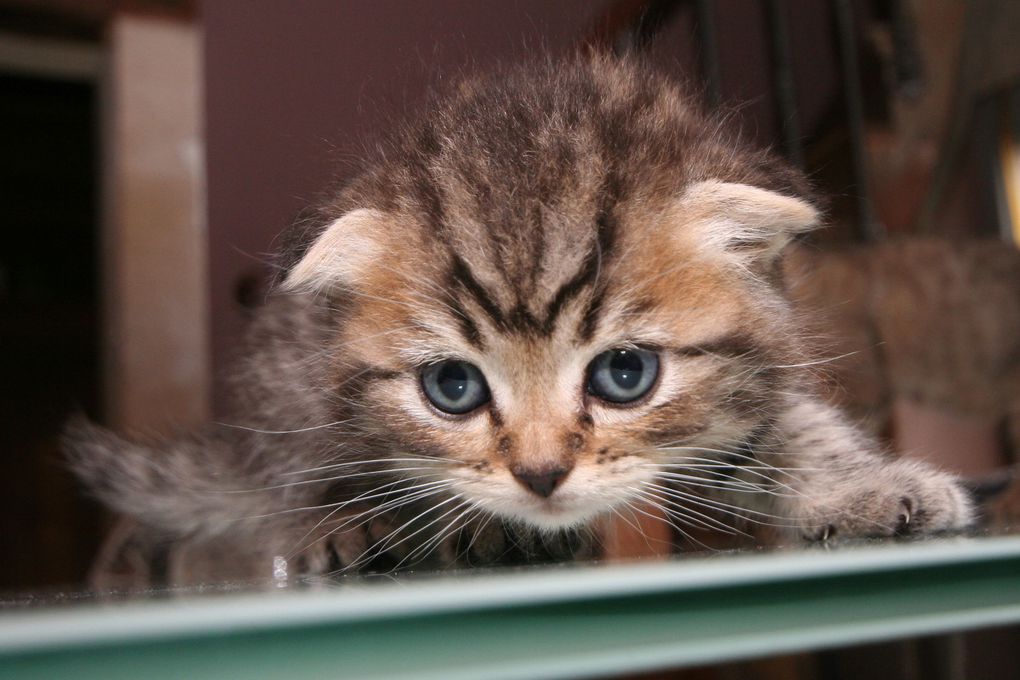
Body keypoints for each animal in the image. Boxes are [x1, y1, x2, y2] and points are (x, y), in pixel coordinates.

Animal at [67, 55, 975, 583]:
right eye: (453, 388)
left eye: (624, 374)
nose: (540, 476)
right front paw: (470, 525)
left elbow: (788, 427)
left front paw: (864, 484)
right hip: (283, 368)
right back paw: (338, 522)